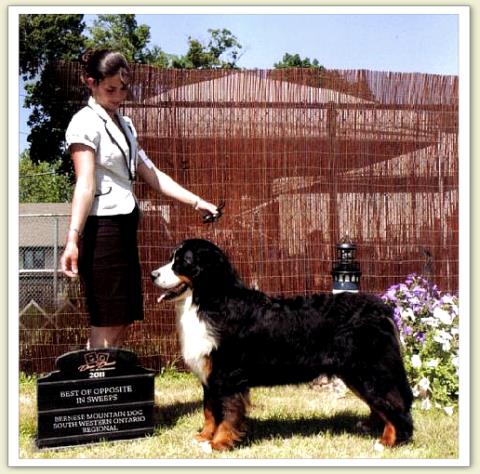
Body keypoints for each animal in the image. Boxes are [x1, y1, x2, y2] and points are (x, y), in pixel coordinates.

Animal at [152, 239, 414, 454]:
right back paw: (371, 427)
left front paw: (218, 444)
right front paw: (203, 437)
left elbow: (227, 414)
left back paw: (388, 441)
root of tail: (379, 308)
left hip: (369, 371)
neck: (209, 301)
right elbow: (209, 410)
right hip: (357, 374)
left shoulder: (227, 375)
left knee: (394, 403)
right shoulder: (210, 374)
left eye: (182, 261)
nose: (153, 274)